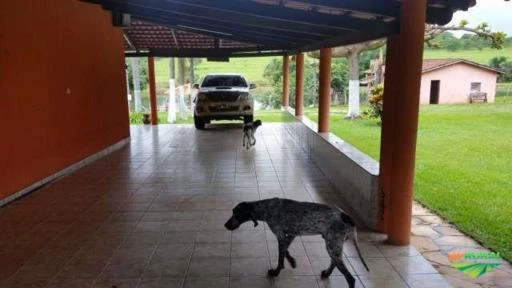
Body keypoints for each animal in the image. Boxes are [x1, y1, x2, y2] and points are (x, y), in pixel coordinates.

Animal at [224, 198, 368, 288]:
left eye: (236, 213)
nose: (225, 225)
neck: (266, 209)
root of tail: (346, 216)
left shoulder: (281, 236)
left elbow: (281, 257)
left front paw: (276, 272)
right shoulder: (291, 235)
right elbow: (285, 251)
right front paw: (292, 262)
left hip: (332, 246)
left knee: (350, 278)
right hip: (333, 246)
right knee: (334, 262)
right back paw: (327, 273)